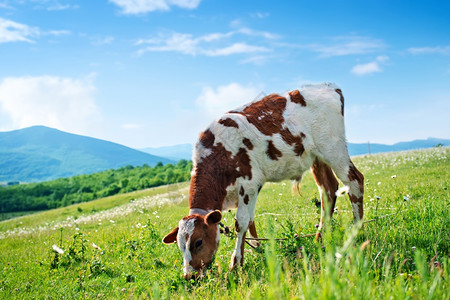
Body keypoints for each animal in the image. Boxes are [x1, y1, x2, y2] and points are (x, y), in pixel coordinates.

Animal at [163, 81, 364, 278]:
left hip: (333, 148)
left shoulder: (248, 184)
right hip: (316, 156)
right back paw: (320, 238)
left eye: (198, 242)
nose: (188, 275)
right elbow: (251, 220)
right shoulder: (248, 190)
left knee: (355, 180)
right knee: (328, 189)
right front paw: (257, 250)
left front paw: (236, 264)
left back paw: (356, 231)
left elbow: (241, 223)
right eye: (180, 246)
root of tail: (328, 86)